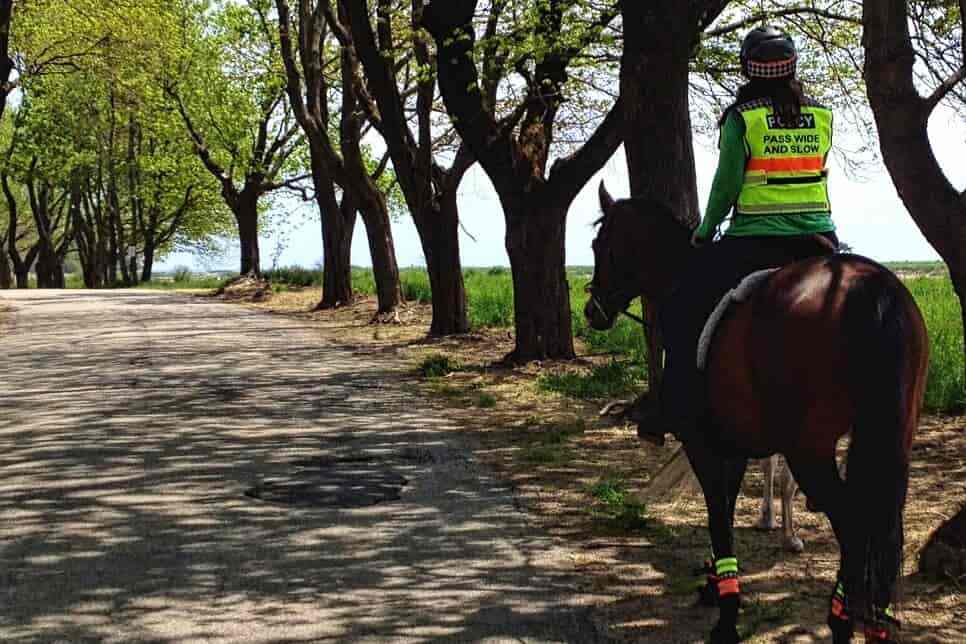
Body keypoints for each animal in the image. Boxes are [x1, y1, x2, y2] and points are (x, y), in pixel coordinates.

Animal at [588, 185, 932, 644]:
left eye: (599, 245)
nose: (591, 310)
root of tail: (871, 290)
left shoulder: (703, 444)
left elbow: (718, 516)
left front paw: (726, 616)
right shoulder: (734, 446)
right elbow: (727, 510)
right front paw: (716, 586)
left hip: (811, 450)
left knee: (854, 525)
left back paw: (841, 620)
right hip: (890, 439)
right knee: (882, 526)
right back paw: (876, 622)